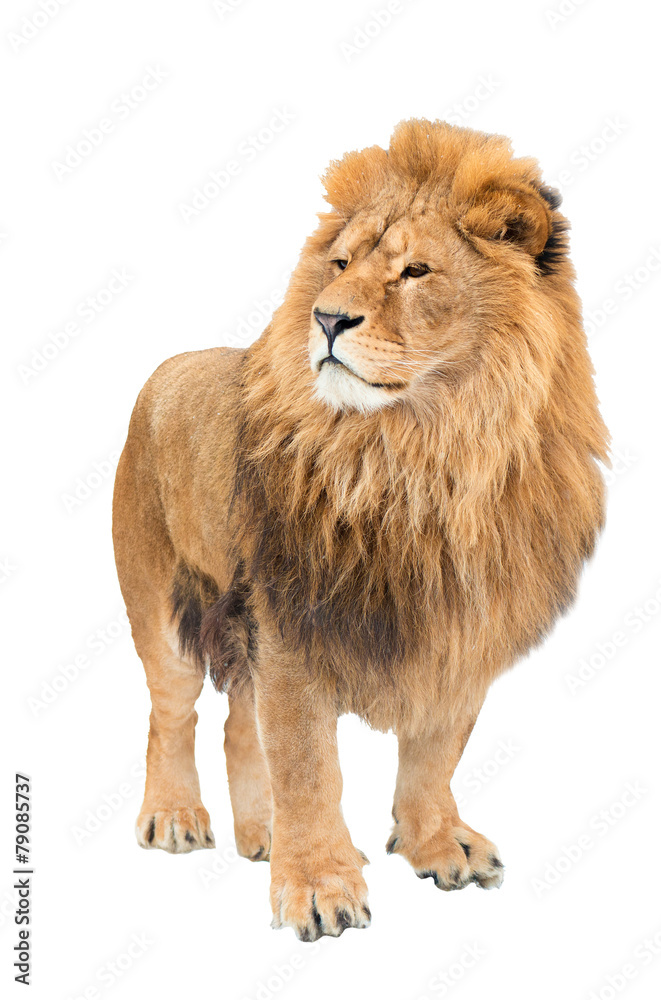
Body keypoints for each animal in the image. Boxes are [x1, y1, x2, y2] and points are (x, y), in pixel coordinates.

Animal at [112, 119, 609, 940]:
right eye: (340, 264)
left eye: (415, 271)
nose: (327, 317)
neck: (419, 458)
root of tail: (167, 367)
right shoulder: (291, 620)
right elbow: (309, 765)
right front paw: (318, 885)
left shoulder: (463, 627)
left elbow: (436, 752)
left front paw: (435, 843)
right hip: (161, 604)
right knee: (172, 715)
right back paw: (177, 817)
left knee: (237, 726)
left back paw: (264, 834)